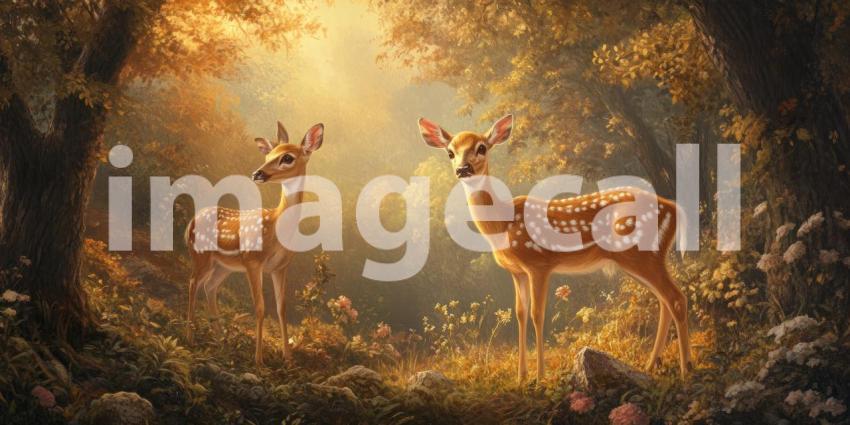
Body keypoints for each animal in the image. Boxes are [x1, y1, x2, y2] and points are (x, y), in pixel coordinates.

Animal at [184, 121, 324, 366]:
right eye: (268, 155)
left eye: (287, 157)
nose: (257, 173)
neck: (277, 229)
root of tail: (190, 222)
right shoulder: (252, 260)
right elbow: (260, 308)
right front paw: (259, 360)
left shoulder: (280, 267)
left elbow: (281, 308)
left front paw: (287, 358)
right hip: (201, 255)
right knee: (192, 284)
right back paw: (190, 337)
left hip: (223, 266)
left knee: (209, 286)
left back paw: (221, 340)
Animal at [417, 114, 692, 383]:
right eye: (450, 152)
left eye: (481, 147)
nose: (463, 169)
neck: (503, 224)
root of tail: (674, 209)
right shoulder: (516, 272)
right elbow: (520, 313)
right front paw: (521, 378)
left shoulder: (539, 264)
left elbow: (538, 314)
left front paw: (539, 377)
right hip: (641, 259)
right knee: (664, 302)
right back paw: (650, 366)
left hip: (642, 255)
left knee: (676, 298)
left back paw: (686, 369)